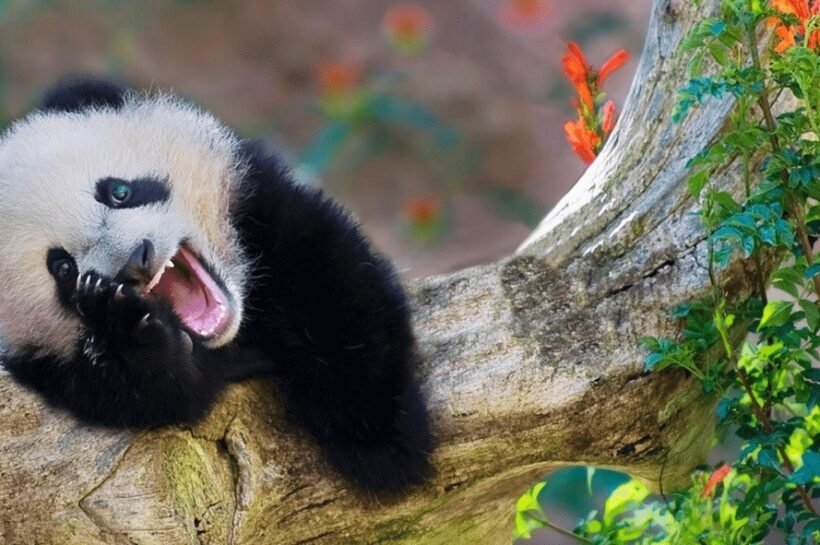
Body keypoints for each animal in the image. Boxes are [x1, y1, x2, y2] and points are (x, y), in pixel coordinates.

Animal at [0, 78, 432, 492]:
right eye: (62, 267)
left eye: (119, 191)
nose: (135, 261)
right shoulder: (47, 369)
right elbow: (155, 395)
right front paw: (124, 334)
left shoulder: (258, 202)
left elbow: (332, 283)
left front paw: (379, 440)